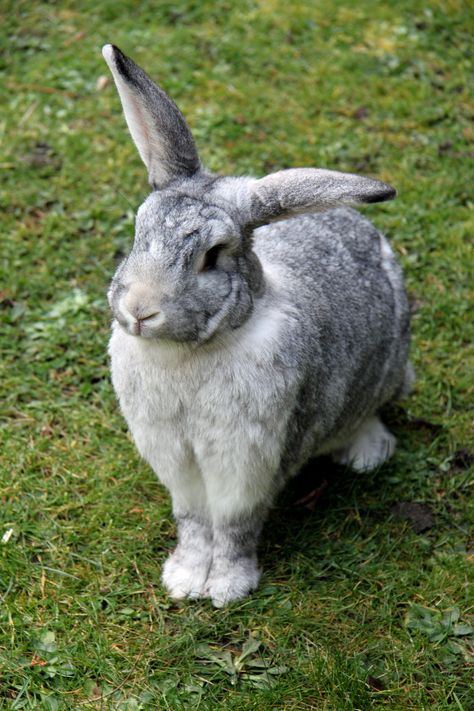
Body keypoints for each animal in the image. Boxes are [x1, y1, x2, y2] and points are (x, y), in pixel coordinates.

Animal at [103, 44, 412, 608]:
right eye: (138, 232)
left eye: (212, 256)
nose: (139, 310)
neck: (192, 351)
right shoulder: (178, 462)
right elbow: (194, 522)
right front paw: (184, 579)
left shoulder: (247, 460)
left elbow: (233, 526)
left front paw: (227, 587)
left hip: (390, 370)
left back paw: (366, 453)